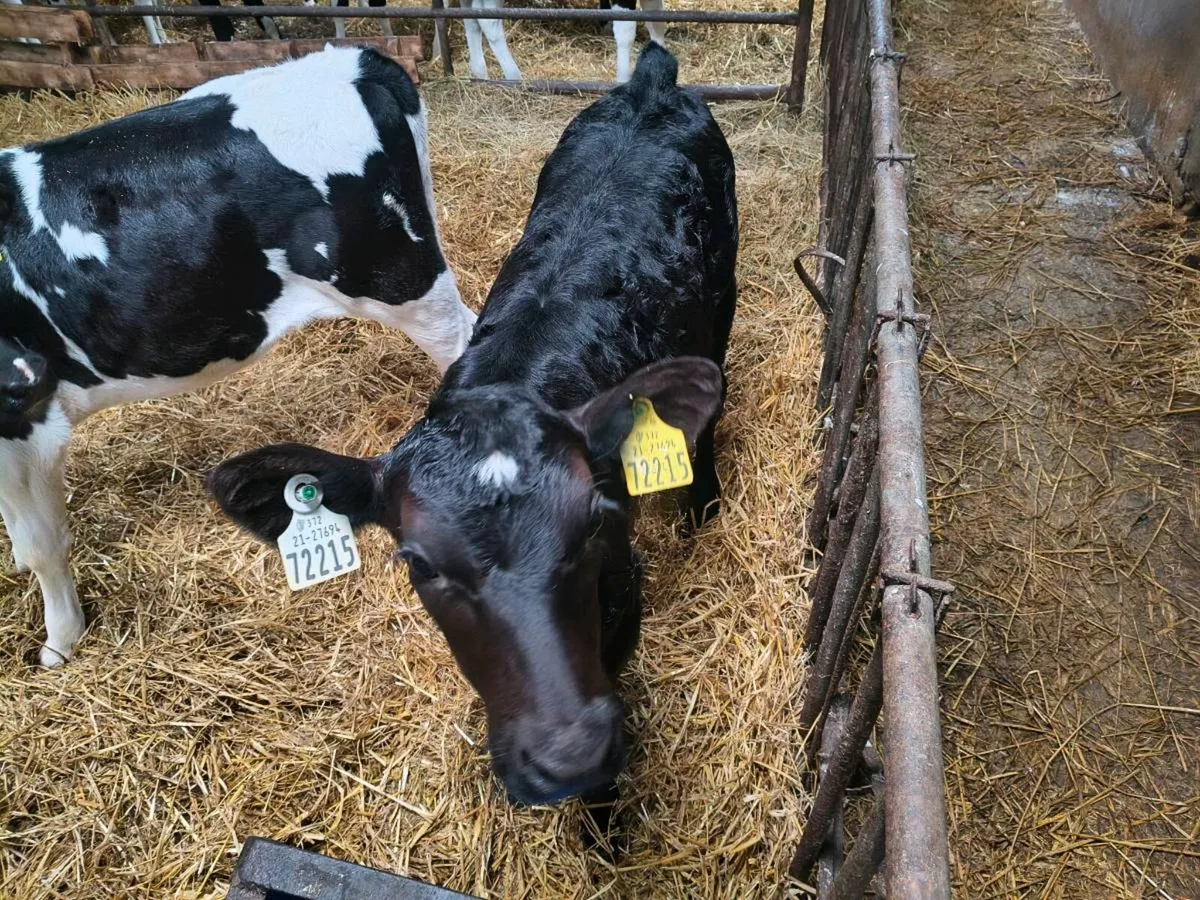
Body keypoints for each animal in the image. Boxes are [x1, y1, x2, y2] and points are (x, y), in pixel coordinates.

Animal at [432, 0, 668, 83]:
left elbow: (655, 19)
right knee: (487, 20)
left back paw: (480, 73)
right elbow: (626, 30)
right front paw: (623, 78)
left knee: (472, 17)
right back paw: (514, 77)